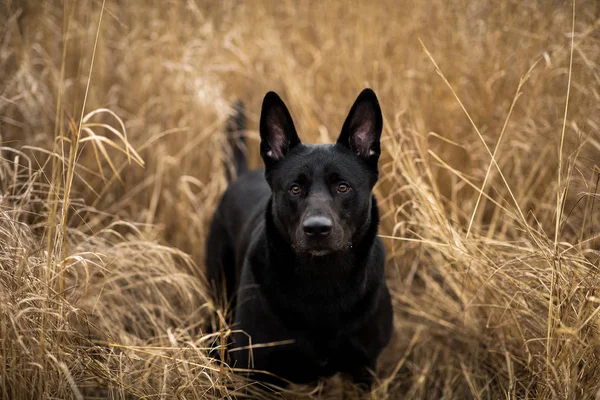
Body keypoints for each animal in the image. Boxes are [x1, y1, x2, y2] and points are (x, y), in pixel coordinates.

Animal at [206, 89, 394, 386]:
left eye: (343, 187)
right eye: (295, 188)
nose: (317, 229)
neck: (322, 281)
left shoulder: (364, 368)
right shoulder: (256, 373)